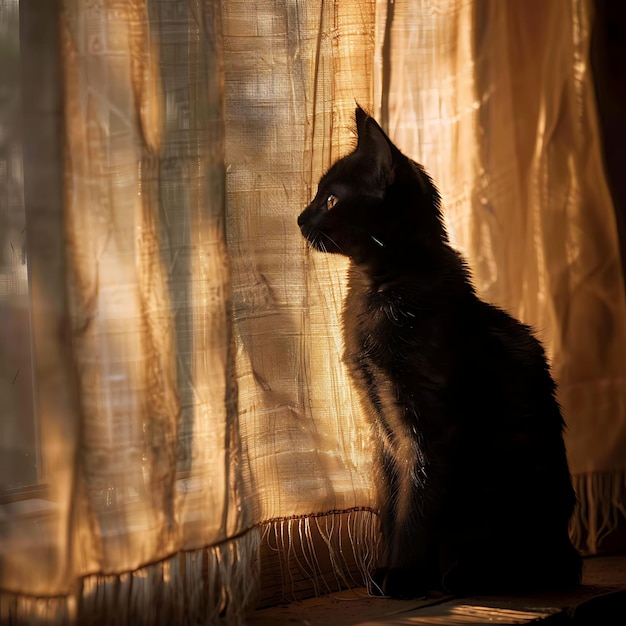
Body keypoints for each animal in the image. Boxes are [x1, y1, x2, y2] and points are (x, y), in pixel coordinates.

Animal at [298, 106, 580, 596]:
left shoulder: (427, 429)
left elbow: (415, 511)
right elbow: (391, 509)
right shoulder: (384, 433)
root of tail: (565, 547)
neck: (374, 294)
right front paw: (384, 571)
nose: (299, 218)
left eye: (330, 200)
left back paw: (464, 574)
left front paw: (402, 577)